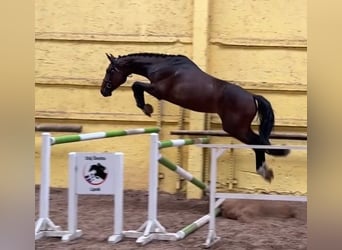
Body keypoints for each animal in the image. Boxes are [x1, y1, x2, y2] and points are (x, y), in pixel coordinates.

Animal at [100, 52, 290, 182]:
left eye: (110, 70)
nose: (103, 91)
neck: (162, 67)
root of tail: (252, 97)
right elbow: (137, 85)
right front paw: (147, 108)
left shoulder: (158, 91)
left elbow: (136, 85)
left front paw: (146, 108)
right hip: (239, 128)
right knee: (259, 142)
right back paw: (265, 171)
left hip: (235, 128)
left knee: (258, 142)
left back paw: (264, 171)